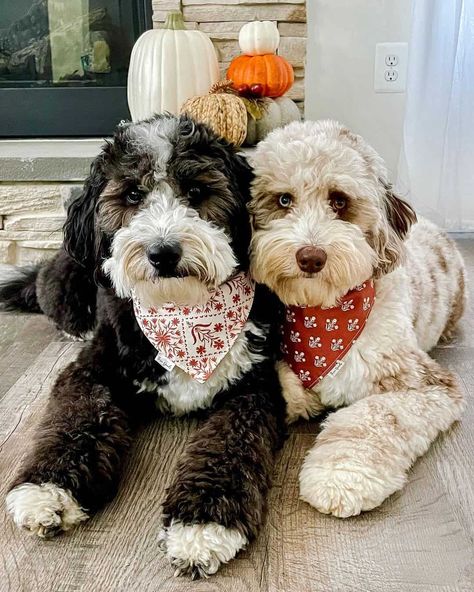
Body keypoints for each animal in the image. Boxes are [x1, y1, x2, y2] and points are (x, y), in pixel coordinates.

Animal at [1, 114, 286, 580]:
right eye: (133, 194)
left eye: (197, 192)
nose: (163, 252)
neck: (182, 313)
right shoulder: (93, 369)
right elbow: (76, 416)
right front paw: (48, 490)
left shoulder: (253, 387)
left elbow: (229, 444)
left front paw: (202, 524)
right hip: (68, 281)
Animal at [250, 120, 464, 520]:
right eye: (284, 200)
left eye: (339, 201)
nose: (311, 257)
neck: (325, 319)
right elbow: (290, 390)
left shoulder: (425, 385)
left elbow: (373, 418)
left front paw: (341, 477)